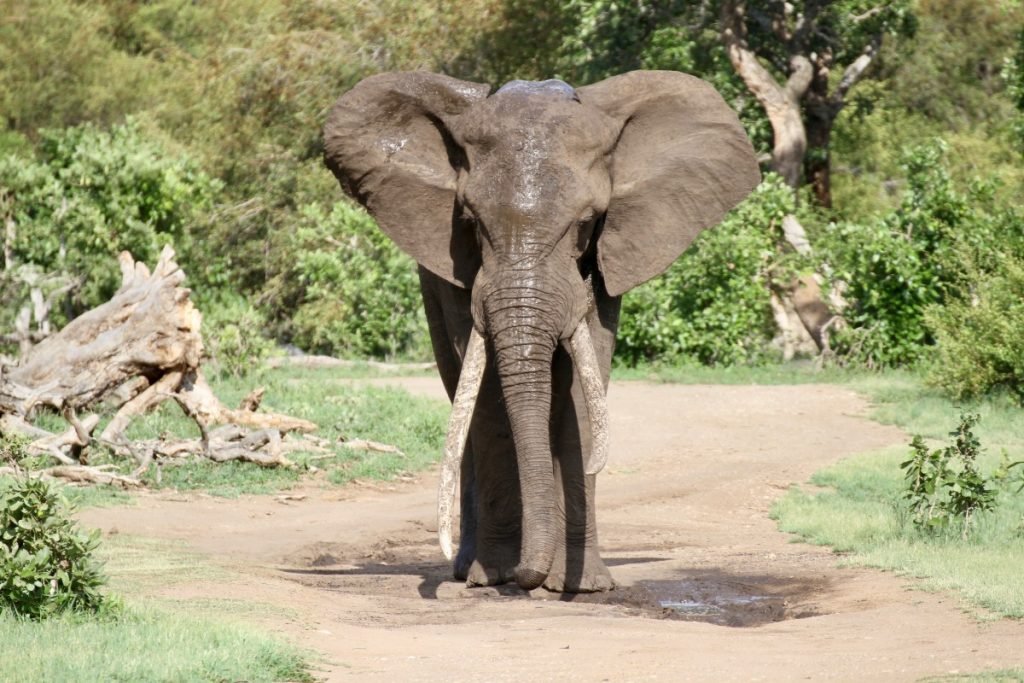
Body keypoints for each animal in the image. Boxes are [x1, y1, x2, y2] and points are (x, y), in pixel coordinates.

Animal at [323, 70, 759, 592]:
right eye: (470, 220)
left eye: (587, 223)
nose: (524, 577)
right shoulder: (456, 268)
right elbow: (487, 391)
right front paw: (496, 575)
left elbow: (586, 379)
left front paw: (580, 586)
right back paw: (471, 570)